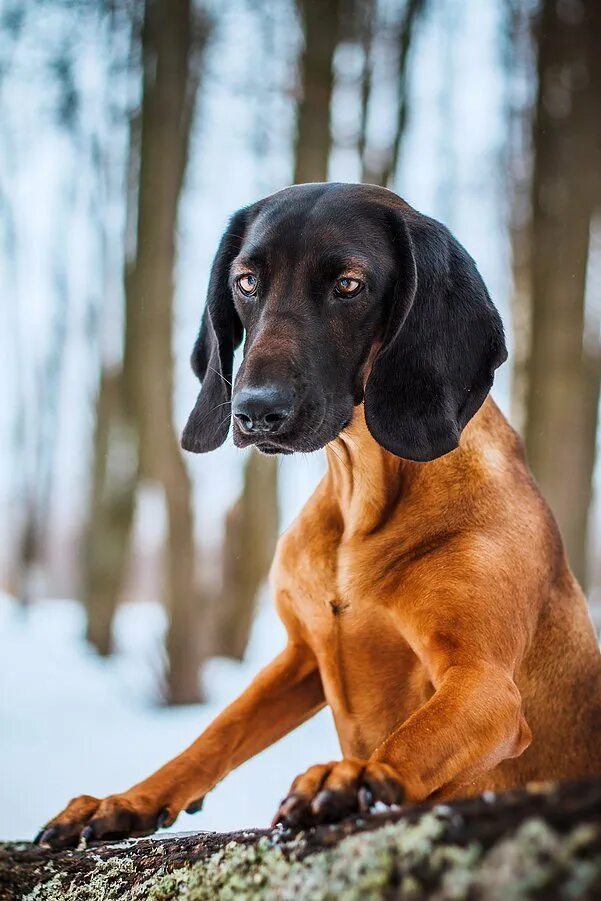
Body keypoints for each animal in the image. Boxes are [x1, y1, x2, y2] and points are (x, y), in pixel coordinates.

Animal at [36, 185, 600, 852]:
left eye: (349, 285)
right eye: (246, 282)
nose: (255, 411)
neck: (363, 498)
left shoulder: (483, 682)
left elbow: (414, 735)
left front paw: (353, 774)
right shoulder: (302, 655)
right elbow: (216, 734)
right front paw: (129, 799)